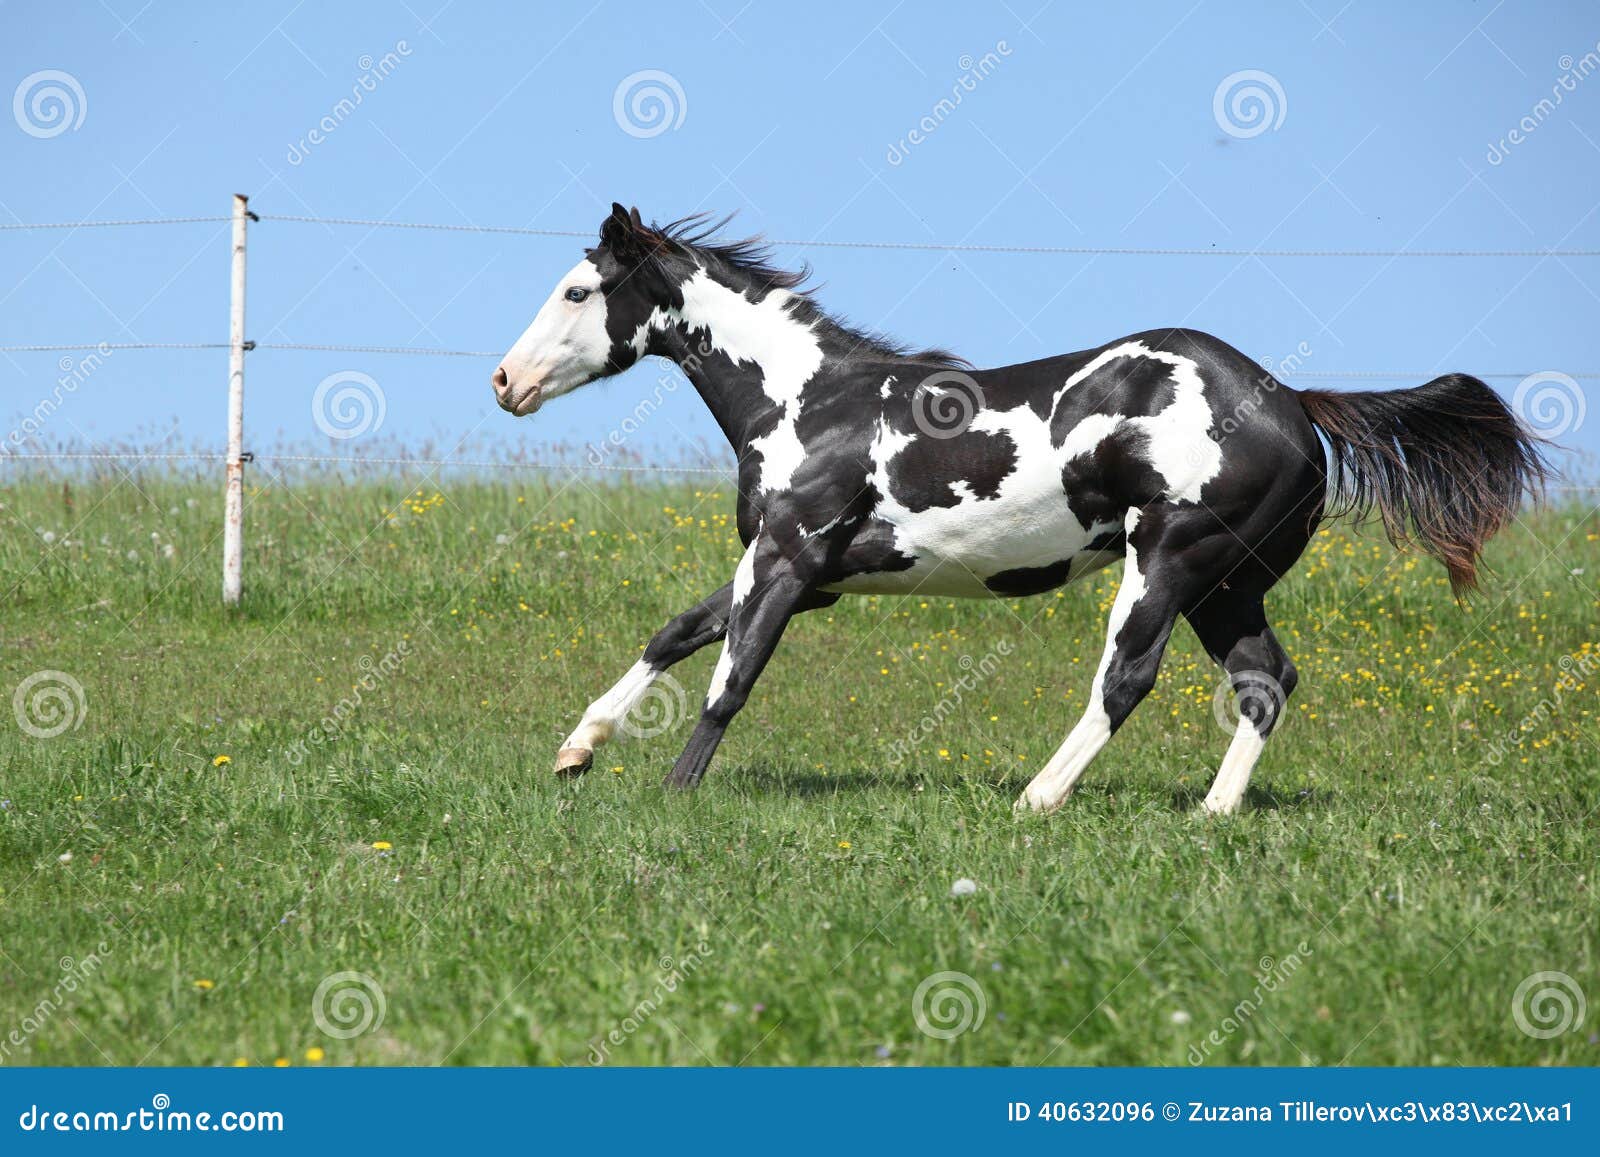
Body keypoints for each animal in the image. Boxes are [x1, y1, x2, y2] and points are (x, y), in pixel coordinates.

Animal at [489, 201, 1548, 816]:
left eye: (579, 289)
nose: (505, 381)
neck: (808, 403)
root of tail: (1295, 402)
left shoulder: (787, 563)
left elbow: (729, 679)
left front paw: (675, 796)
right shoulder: (800, 570)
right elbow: (674, 633)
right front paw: (576, 750)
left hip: (1167, 563)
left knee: (1126, 681)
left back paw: (1037, 798)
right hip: (1227, 585)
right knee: (1266, 682)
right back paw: (1211, 815)